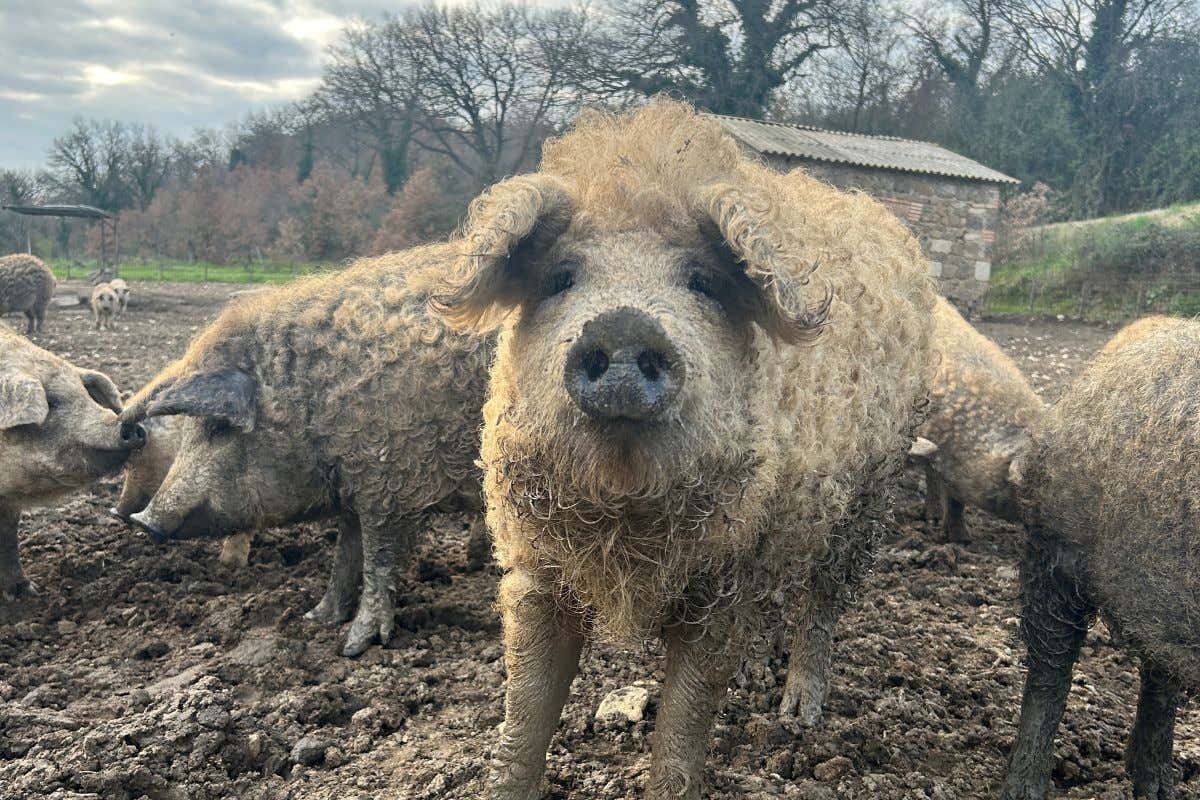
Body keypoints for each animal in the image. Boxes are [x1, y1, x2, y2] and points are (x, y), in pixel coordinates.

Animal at [119, 247, 492, 656]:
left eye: (217, 428)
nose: (142, 520)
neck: (312, 405)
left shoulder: (390, 484)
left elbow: (377, 560)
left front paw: (352, 648)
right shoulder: (357, 488)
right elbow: (346, 554)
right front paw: (316, 618)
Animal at [428, 99, 936, 799]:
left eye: (701, 281)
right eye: (560, 277)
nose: (622, 323)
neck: (623, 521)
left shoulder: (724, 580)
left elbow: (686, 717)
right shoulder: (534, 563)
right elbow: (526, 706)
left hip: (869, 495)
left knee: (824, 601)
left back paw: (797, 716)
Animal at [1002, 315, 1200, 800]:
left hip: (1158, 593)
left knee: (1159, 679)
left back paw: (1156, 787)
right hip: (1052, 554)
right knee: (1050, 669)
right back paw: (1024, 789)